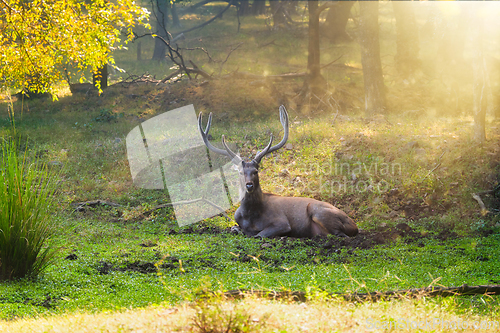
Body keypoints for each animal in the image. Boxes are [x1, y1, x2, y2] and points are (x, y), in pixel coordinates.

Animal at [197, 105, 358, 237]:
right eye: (241, 172)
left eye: (256, 171)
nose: (249, 185)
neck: (250, 216)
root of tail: (355, 225)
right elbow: (235, 229)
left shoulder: (282, 222)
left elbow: (258, 234)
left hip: (319, 211)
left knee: (340, 234)